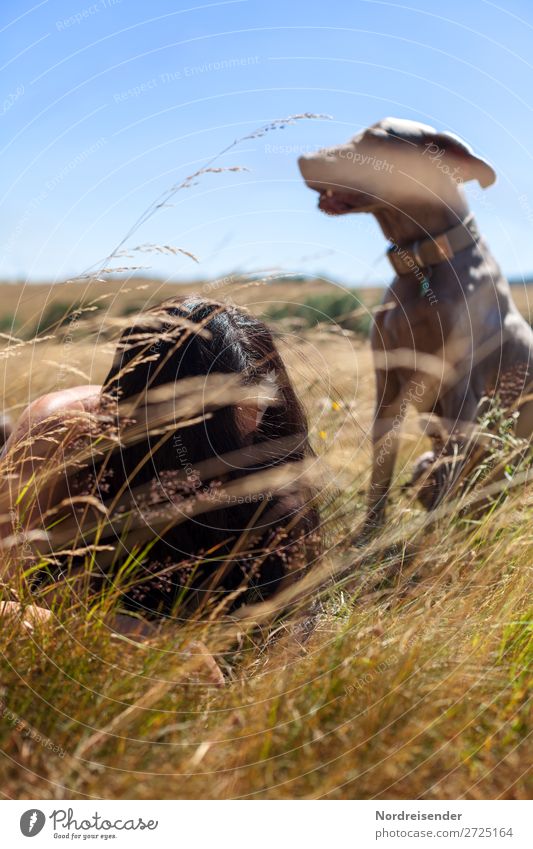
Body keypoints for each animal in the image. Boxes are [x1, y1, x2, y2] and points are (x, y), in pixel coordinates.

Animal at [300, 117, 532, 528]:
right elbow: (381, 471)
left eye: (375, 139)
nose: (302, 159)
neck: (423, 264)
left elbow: (446, 491)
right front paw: (368, 536)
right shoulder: (388, 380)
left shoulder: (462, 394)